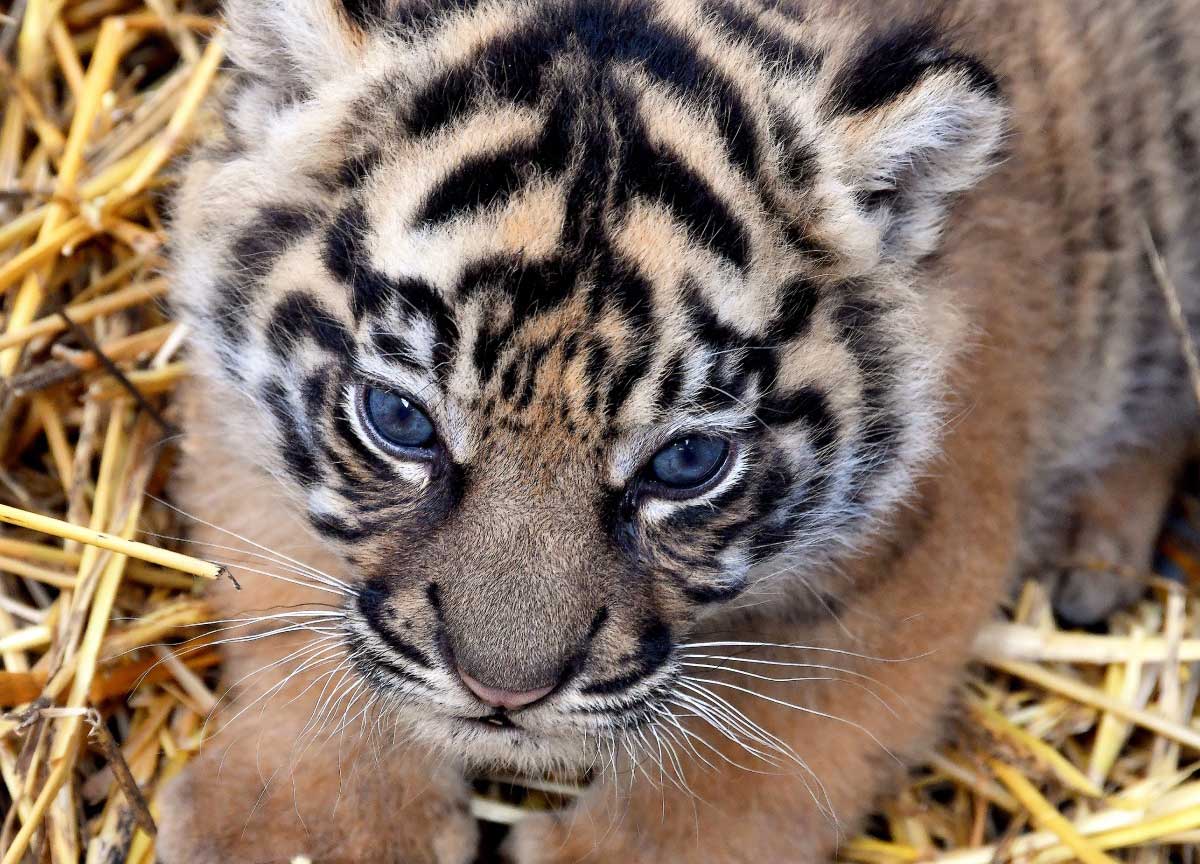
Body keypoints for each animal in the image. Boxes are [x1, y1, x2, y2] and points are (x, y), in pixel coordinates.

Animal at [156, 0, 1200, 861]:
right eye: (399, 419)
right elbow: (291, 586)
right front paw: (308, 828)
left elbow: (761, 751)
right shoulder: (230, 403)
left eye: (688, 461)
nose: (503, 693)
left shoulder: (928, 539)